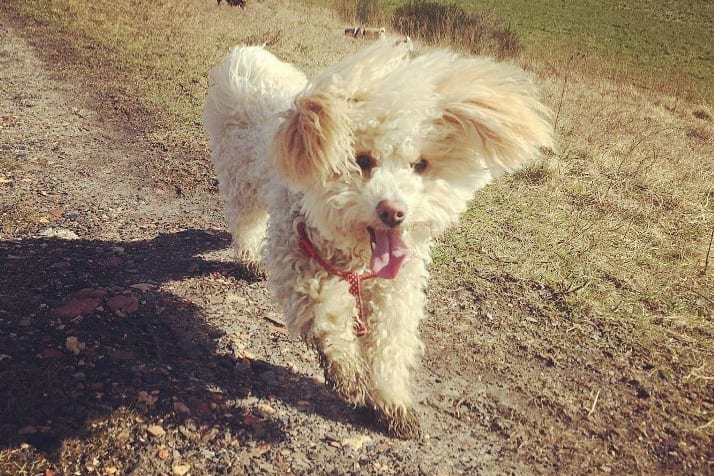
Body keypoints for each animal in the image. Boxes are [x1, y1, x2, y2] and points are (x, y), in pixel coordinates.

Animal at [202, 39, 552, 436]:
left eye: (420, 165)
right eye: (363, 160)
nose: (394, 212)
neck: (356, 256)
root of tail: (248, 54)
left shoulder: (393, 292)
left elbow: (390, 345)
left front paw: (391, 402)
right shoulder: (300, 263)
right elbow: (327, 318)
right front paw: (347, 372)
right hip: (239, 175)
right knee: (244, 218)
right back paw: (247, 256)